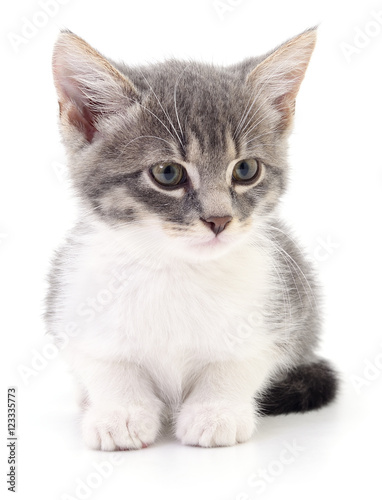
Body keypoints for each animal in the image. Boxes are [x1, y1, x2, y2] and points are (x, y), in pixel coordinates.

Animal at [47, 29, 338, 452]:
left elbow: (239, 363)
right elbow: (106, 363)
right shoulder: (73, 303)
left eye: (246, 170)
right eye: (168, 173)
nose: (219, 219)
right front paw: (120, 412)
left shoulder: (282, 309)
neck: (175, 268)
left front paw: (214, 412)